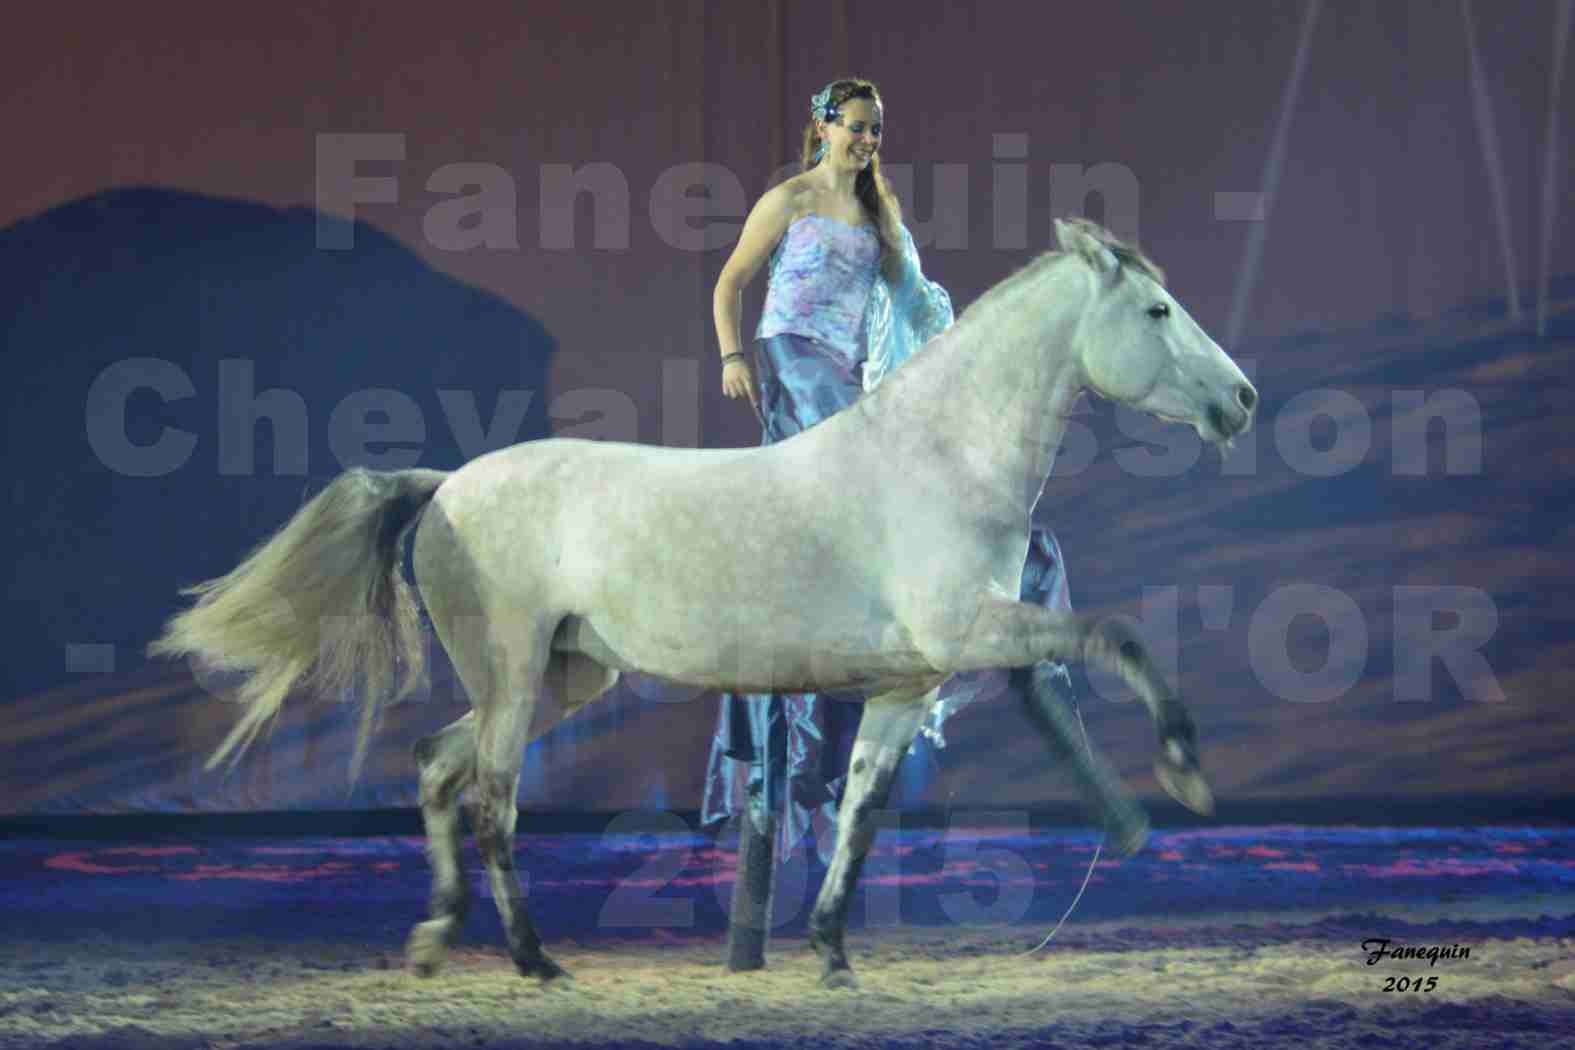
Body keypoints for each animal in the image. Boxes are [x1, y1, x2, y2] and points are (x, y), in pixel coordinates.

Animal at [148, 217, 1253, 988]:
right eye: (1156, 313)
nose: (1239, 400)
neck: (937, 459)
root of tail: (447, 486)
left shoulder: (907, 685)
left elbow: (859, 813)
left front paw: (832, 953)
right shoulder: (973, 628)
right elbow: (1115, 635)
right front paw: (1187, 774)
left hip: (567, 679)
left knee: (433, 764)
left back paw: (433, 941)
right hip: (514, 676)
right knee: (493, 801)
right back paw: (536, 962)